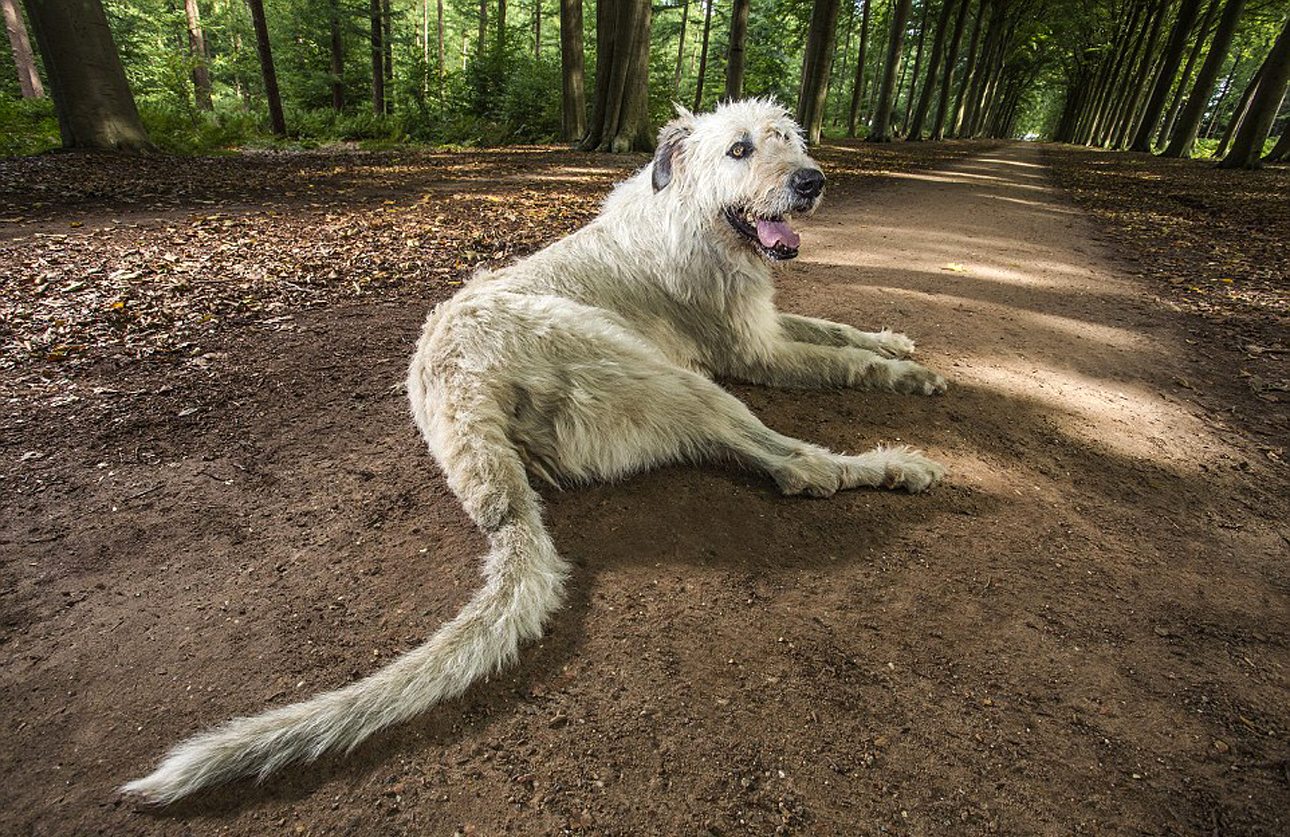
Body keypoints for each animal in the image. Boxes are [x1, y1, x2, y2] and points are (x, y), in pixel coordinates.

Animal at [121, 98, 949, 804]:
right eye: (739, 149)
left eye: (788, 138)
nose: (811, 181)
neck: (687, 213)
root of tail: (463, 407)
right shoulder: (754, 351)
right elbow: (840, 360)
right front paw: (909, 374)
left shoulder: (767, 324)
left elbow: (833, 329)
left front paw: (894, 340)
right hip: (665, 374)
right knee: (797, 466)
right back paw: (897, 463)